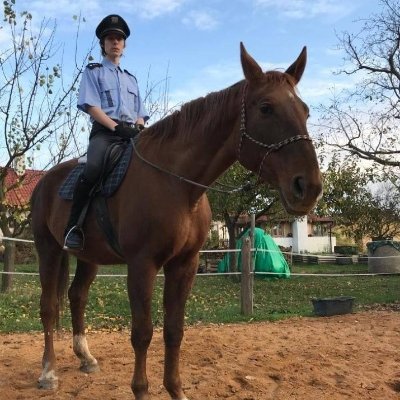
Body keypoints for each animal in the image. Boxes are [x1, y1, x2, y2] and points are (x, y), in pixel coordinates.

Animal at [30, 42, 322, 398]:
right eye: (266, 108)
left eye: (305, 111)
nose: (308, 188)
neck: (177, 185)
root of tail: (46, 181)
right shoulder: (142, 265)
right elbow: (142, 332)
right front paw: (141, 390)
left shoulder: (184, 265)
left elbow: (174, 330)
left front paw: (175, 389)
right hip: (47, 249)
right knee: (48, 307)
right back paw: (48, 372)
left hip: (88, 257)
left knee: (76, 297)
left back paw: (85, 357)